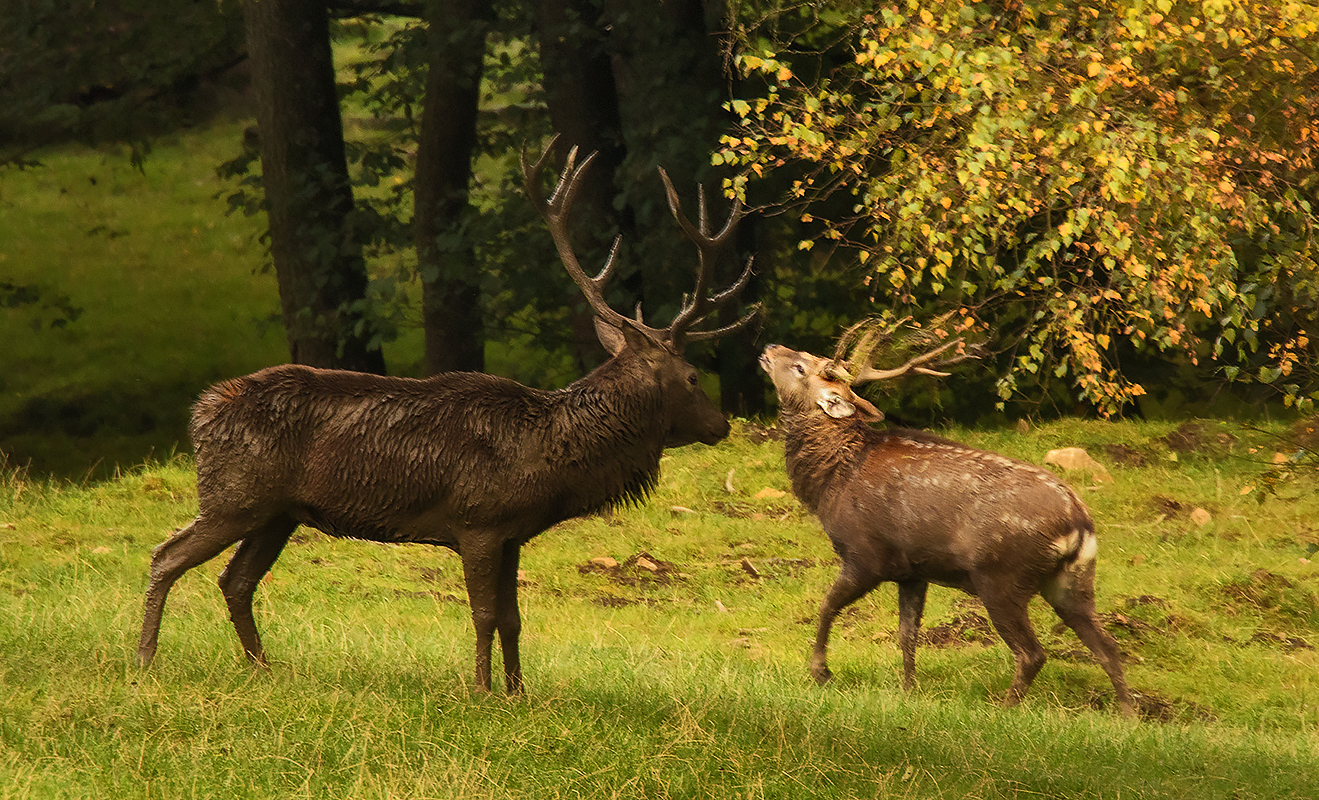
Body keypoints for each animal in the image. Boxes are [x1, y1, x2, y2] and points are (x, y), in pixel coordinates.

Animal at [139, 139, 759, 695]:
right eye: (693, 378)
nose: (723, 425)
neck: (548, 461)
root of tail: (201, 411)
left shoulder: (512, 534)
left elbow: (513, 618)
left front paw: (518, 692)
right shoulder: (477, 520)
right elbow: (484, 614)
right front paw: (482, 692)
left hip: (277, 512)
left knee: (236, 580)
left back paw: (263, 669)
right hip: (234, 495)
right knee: (167, 556)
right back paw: (145, 662)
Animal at [759, 334, 1139, 716]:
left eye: (800, 366)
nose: (770, 348)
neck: (832, 480)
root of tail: (1078, 522)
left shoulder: (866, 555)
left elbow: (826, 606)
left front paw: (821, 673)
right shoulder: (912, 570)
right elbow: (907, 633)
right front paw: (908, 691)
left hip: (1001, 577)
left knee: (1032, 653)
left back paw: (1004, 710)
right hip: (1073, 580)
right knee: (1107, 646)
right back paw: (1128, 715)